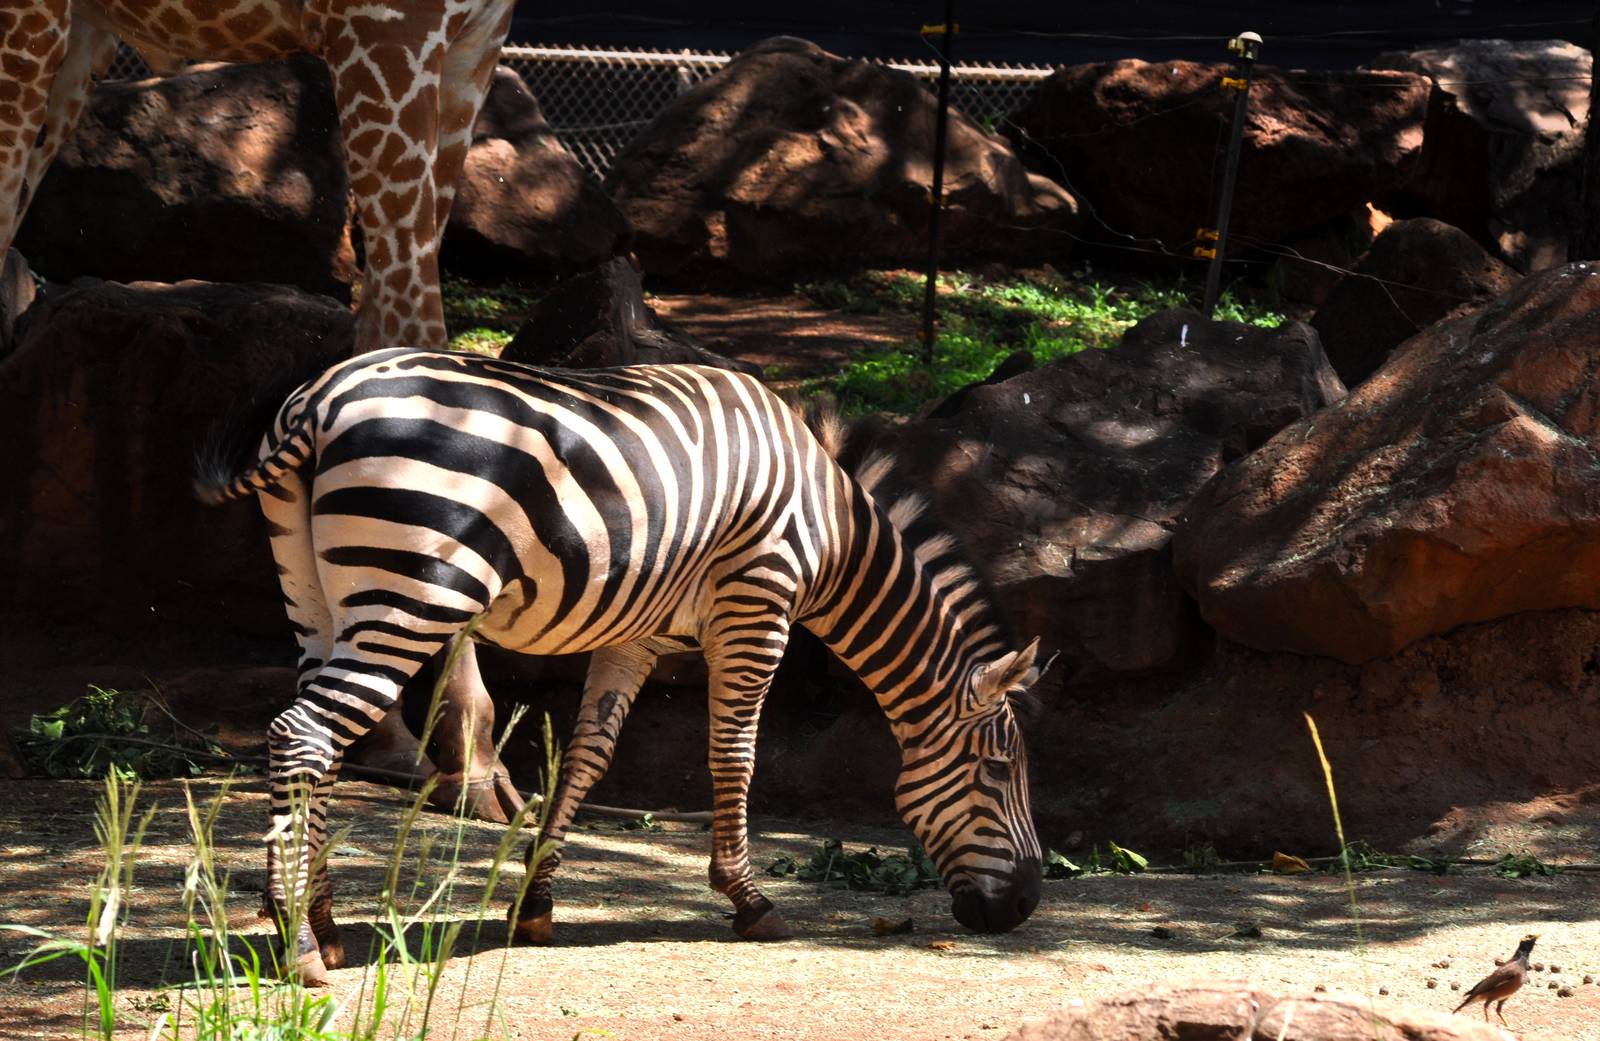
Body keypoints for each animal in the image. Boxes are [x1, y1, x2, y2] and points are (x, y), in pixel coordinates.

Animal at [0, 0, 524, 821]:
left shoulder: (469, 48)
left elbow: (379, 338)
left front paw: (400, 743)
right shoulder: (387, 36)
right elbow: (419, 339)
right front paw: (471, 761)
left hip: (75, 44)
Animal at [198, 346, 1045, 986]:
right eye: (999, 770)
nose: (1026, 907)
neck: (832, 526)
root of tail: (319, 399)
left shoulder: (636, 631)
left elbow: (588, 754)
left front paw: (535, 904)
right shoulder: (756, 604)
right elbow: (734, 754)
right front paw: (749, 899)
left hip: (316, 589)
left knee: (316, 745)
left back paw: (321, 921)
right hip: (410, 591)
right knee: (302, 734)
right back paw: (299, 946)